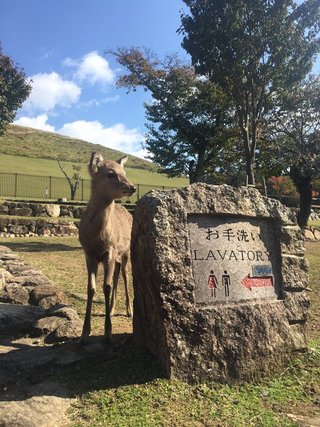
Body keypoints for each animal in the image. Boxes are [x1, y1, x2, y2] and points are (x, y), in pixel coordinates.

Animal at [79, 152, 136, 342]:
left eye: (124, 172)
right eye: (111, 173)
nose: (132, 187)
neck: (97, 238)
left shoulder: (110, 251)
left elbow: (106, 286)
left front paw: (108, 333)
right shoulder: (89, 253)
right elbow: (91, 289)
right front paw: (84, 334)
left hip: (126, 251)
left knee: (125, 274)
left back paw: (129, 311)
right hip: (116, 255)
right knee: (117, 272)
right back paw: (111, 309)